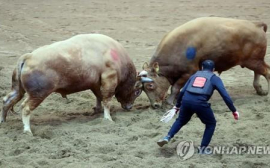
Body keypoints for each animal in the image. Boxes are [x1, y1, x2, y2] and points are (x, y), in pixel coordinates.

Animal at [0, 33, 141, 135]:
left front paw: (97, 109)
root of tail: (28, 56)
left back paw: (3, 121)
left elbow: (99, 96)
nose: (130, 107)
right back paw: (27, 130)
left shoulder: (95, 83)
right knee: (26, 108)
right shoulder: (109, 78)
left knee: (7, 100)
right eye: (136, 91)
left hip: (18, 90)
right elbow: (106, 99)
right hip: (38, 94)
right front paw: (108, 118)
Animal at [138, 17, 268, 108]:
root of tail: (255, 25)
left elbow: (175, 87)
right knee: (258, 72)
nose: (154, 106)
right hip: (255, 61)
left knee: (266, 72)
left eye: (150, 86)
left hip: (253, 61)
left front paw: (170, 101)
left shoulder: (189, 72)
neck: (178, 48)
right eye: (143, 89)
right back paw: (260, 90)